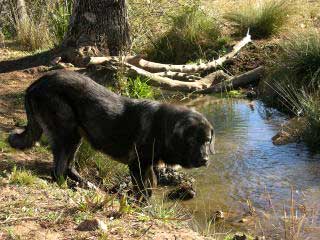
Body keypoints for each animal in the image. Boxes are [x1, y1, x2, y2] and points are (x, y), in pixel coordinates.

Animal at [8, 70, 215, 198]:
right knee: (58, 170)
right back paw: (67, 188)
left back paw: (86, 184)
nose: (204, 160)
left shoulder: (148, 166)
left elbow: (150, 188)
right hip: (67, 133)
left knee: (69, 166)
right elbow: (142, 191)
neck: (162, 128)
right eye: (192, 140)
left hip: (77, 137)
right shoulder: (136, 166)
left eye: (207, 141)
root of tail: (36, 83)